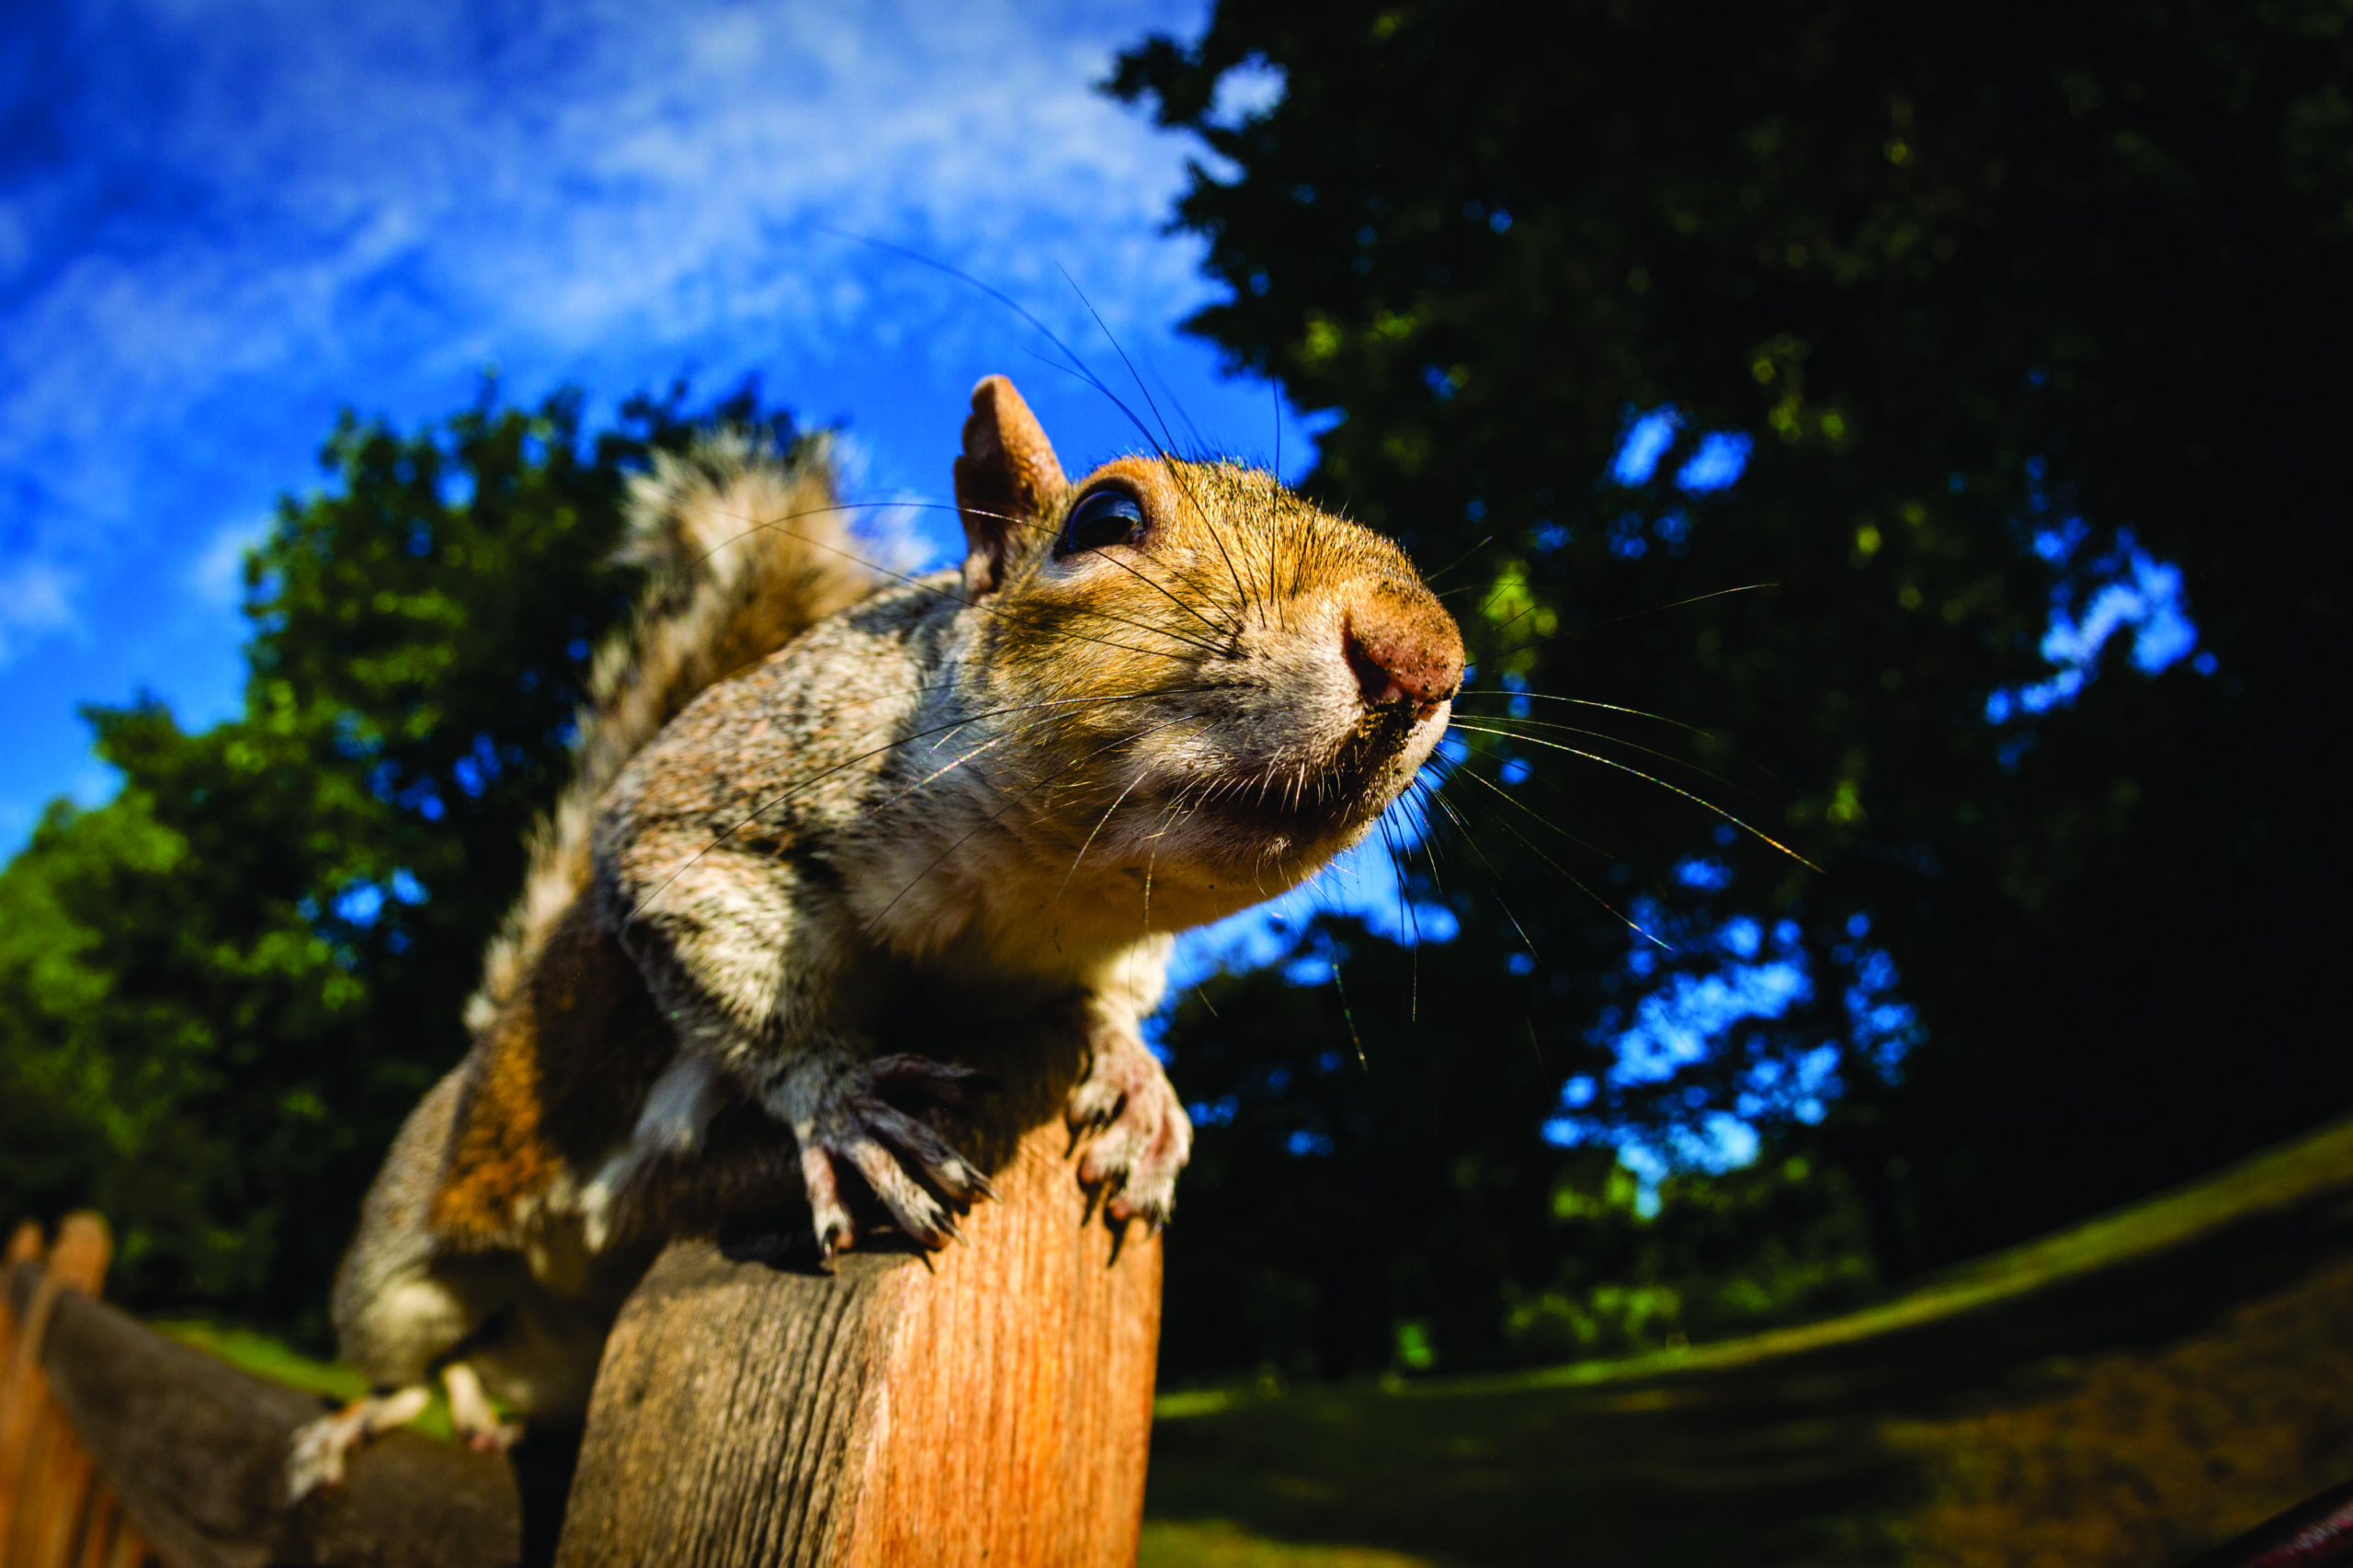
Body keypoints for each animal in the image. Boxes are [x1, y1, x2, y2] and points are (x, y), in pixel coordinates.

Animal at [285, 374, 1465, 1497]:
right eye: (1106, 515)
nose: (1421, 659)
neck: (1053, 890)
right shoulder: (713, 793)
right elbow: (697, 912)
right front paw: (846, 1104)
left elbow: (1108, 1004)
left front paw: (1137, 1082)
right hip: (402, 1259)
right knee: (406, 1352)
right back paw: (365, 1416)